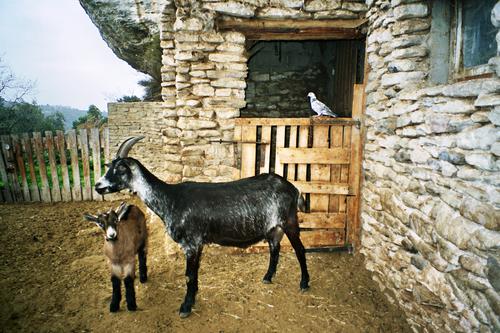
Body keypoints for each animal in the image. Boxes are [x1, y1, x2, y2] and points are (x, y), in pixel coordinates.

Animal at [94, 137, 308, 316]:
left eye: (120, 168)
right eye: (109, 167)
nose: (98, 186)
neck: (171, 198)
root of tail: (293, 188)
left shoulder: (191, 242)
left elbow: (189, 275)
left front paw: (185, 307)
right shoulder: (196, 244)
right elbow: (194, 273)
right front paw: (193, 297)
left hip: (289, 221)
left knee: (300, 249)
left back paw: (304, 283)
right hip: (273, 227)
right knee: (274, 248)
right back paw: (268, 277)